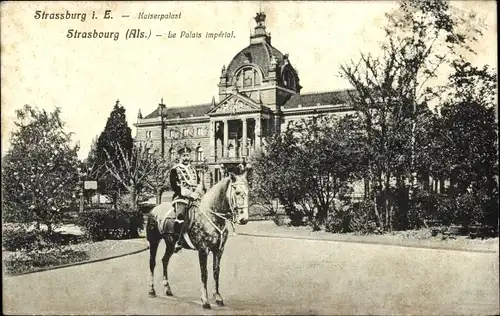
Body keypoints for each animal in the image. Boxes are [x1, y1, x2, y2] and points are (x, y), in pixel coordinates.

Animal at [146, 170, 249, 308]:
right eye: (237, 192)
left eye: (248, 191)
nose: (244, 219)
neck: (212, 216)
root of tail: (154, 209)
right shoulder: (203, 250)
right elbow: (204, 274)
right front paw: (205, 300)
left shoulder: (218, 251)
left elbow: (216, 272)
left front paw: (218, 297)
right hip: (154, 241)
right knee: (152, 262)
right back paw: (152, 290)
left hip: (170, 244)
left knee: (164, 261)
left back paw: (168, 289)